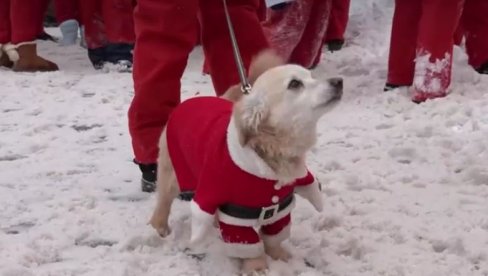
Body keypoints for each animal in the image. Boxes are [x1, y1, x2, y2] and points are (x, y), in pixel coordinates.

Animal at [149, 50, 344, 272]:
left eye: (311, 76)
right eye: (295, 84)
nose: (339, 81)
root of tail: (192, 101)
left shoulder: (279, 208)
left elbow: (274, 237)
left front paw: (280, 258)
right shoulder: (237, 215)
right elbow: (249, 245)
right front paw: (258, 268)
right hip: (173, 172)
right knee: (164, 200)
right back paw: (160, 227)